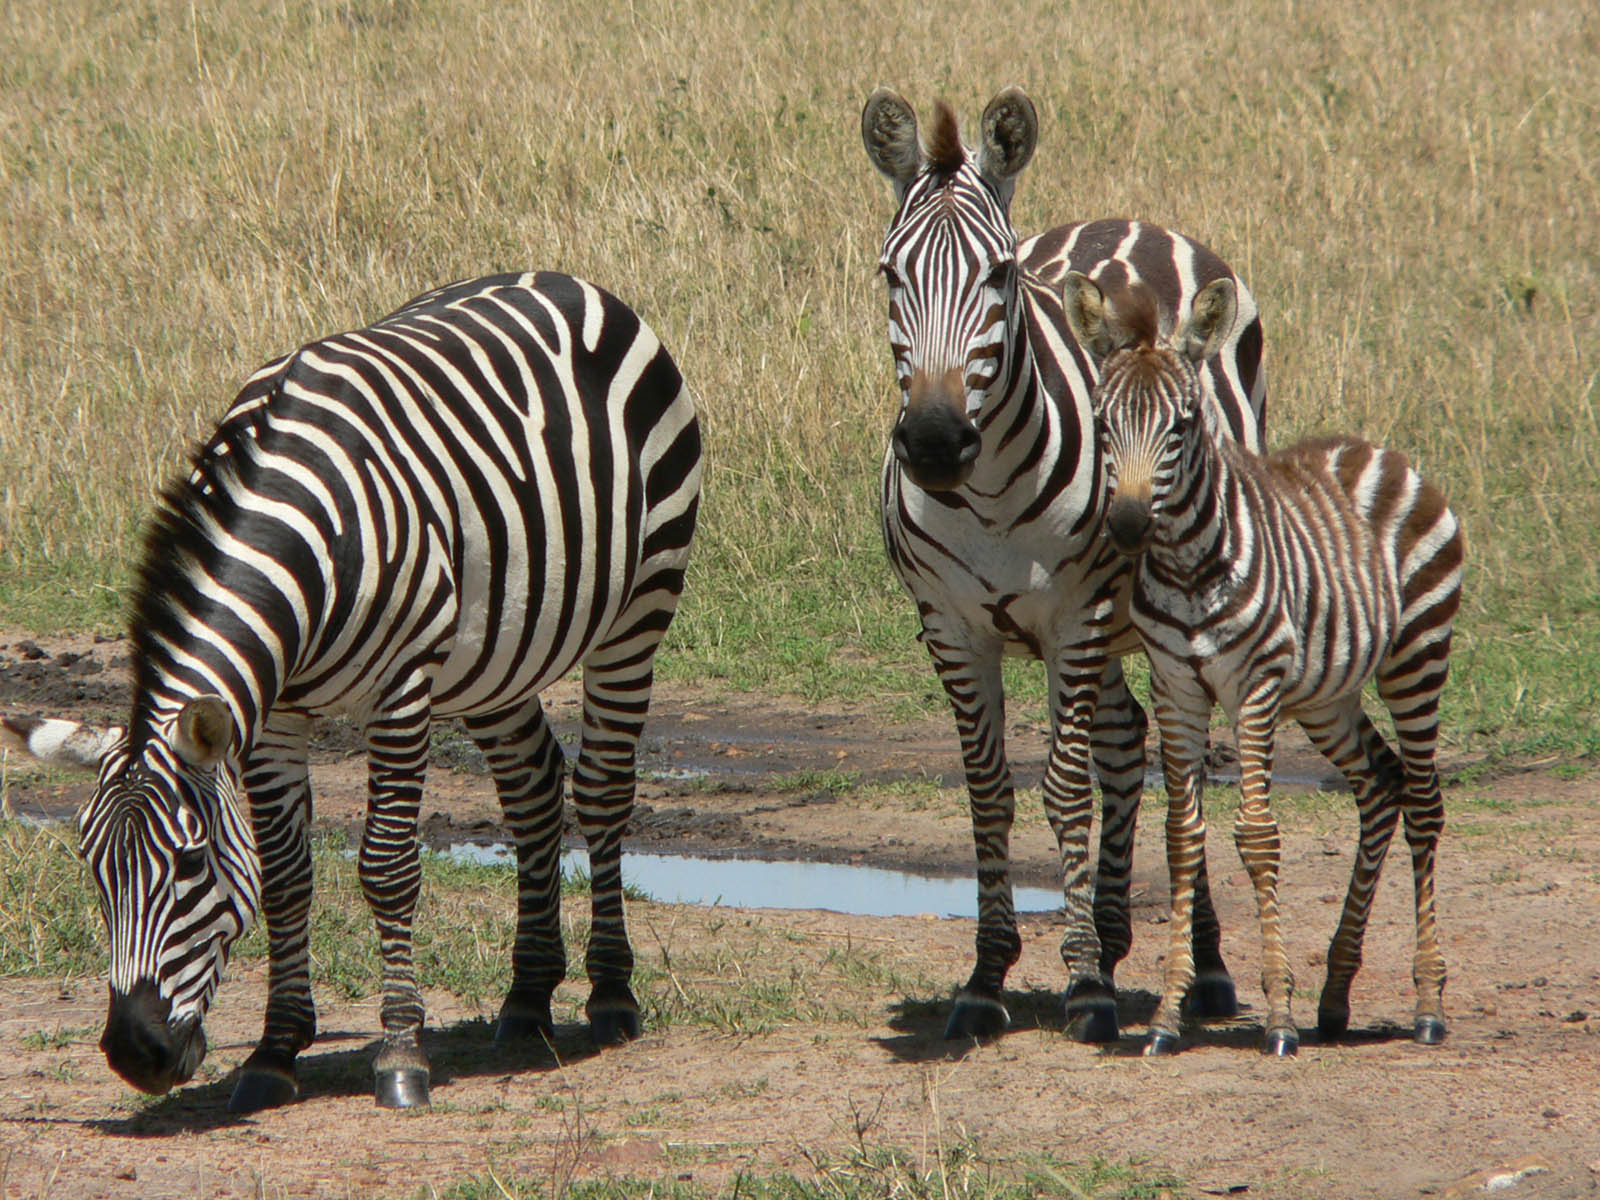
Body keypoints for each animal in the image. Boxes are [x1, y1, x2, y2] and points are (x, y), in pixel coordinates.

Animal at [0, 270, 700, 1107]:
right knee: (533, 787)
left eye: (191, 864)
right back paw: (528, 998)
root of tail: (566, 279)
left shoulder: (400, 688)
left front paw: (399, 1055)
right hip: (495, 653)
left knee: (602, 790)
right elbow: (284, 876)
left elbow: (388, 868)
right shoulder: (276, 713)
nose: (135, 1055)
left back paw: (610, 996)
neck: (304, 536)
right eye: (91, 865)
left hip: (639, 606)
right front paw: (274, 1052)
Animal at [870, 84, 1267, 1043]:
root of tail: (1128, 220)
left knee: (1179, 766)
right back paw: (1119, 934)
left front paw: (1085, 984)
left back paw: (1202, 968)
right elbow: (989, 791)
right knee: (1126, 741)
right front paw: (988, 976)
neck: (983, 497)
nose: (933, 442)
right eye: (889, 275)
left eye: (998, 276)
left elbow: (1063, 791)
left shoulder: (1075, 617)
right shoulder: (950, 625)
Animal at [1068, 275, 1465, 1062]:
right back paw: (1336, 995)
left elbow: (1257, 835)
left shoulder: (1253, 686)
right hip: (1326, 696)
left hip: (1417, 653)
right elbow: (1181, 838)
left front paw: (1278, 1013)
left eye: (1184, 424)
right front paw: (1165, 1019)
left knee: (1424, 802)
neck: (1188, 567)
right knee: (1381, 787)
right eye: (1102, 423)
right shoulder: (1177, 688)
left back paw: (1429, 1003)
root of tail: (1376, 448)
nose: (1125, 526)